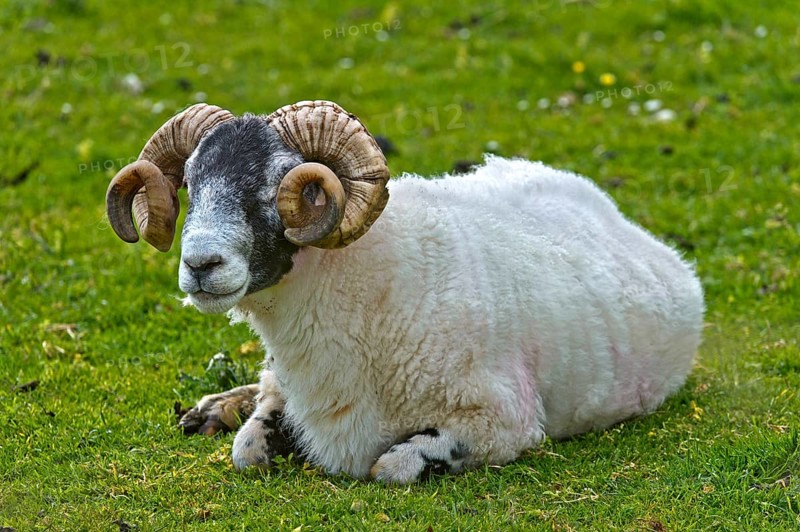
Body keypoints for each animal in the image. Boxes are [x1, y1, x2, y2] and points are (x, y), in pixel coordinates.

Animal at [106, 100, 704, 484]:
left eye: (282, 184)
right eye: (191, 181)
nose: (200, 264)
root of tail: (602, 204)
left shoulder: (506, 422)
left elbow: (389, 466)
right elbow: (248, 450)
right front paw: (236, 417)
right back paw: (213, 406)